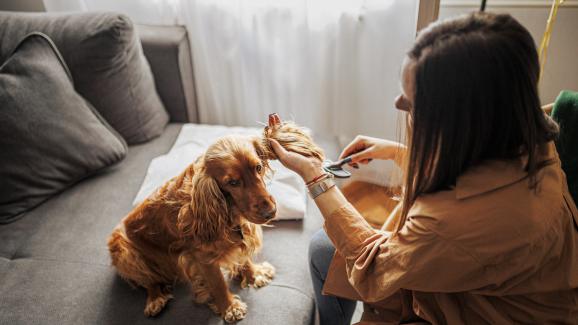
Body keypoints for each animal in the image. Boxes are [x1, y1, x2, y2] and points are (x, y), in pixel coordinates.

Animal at [107, 114, 324, 322]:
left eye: (258, 167)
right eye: (233, 182)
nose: (270, 212)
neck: (225, 208)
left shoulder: (242, 230)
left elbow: (244, 257)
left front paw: (254, 275)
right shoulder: (203, 258)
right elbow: (217, 283)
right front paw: (230, 308)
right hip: (124, 252)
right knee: (149, 281)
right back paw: (155, 300)